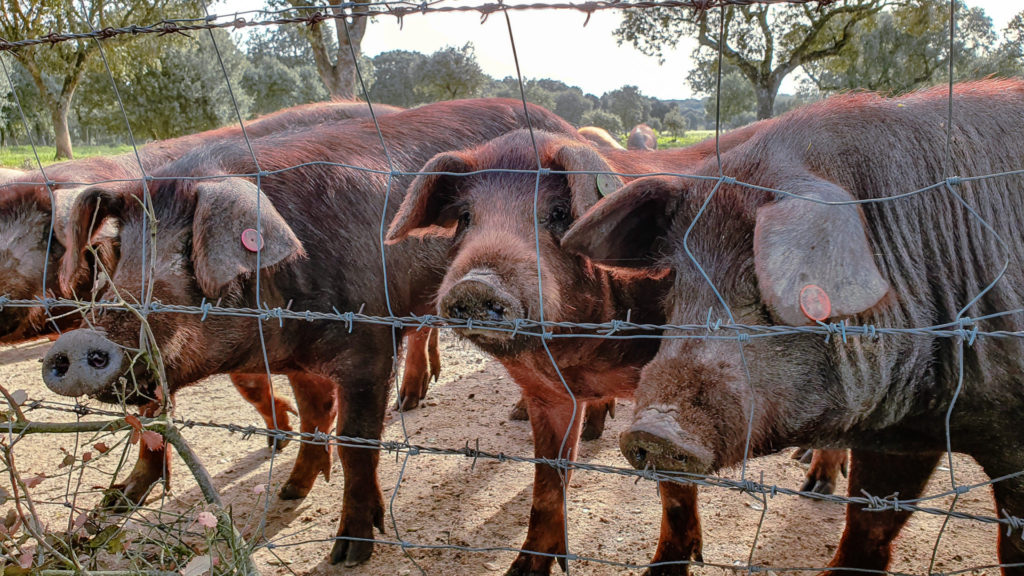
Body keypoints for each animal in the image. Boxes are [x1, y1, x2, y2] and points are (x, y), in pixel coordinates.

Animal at [39, 98, 579, 567]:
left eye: (189, 250)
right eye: (116, 253)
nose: (78, 342)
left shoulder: (369, 344)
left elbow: (357, 441)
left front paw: (349, 553)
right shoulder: (297, 359)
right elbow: (314, 413)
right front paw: (292, 490)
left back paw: (515, 413)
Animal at [384, 122, 786, 575]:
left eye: (560, 214)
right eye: (466, 217)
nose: (476, 283)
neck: (578, 353)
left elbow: (675, 489)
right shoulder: (547, 393)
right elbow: (547, 481)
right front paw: (522, 570)